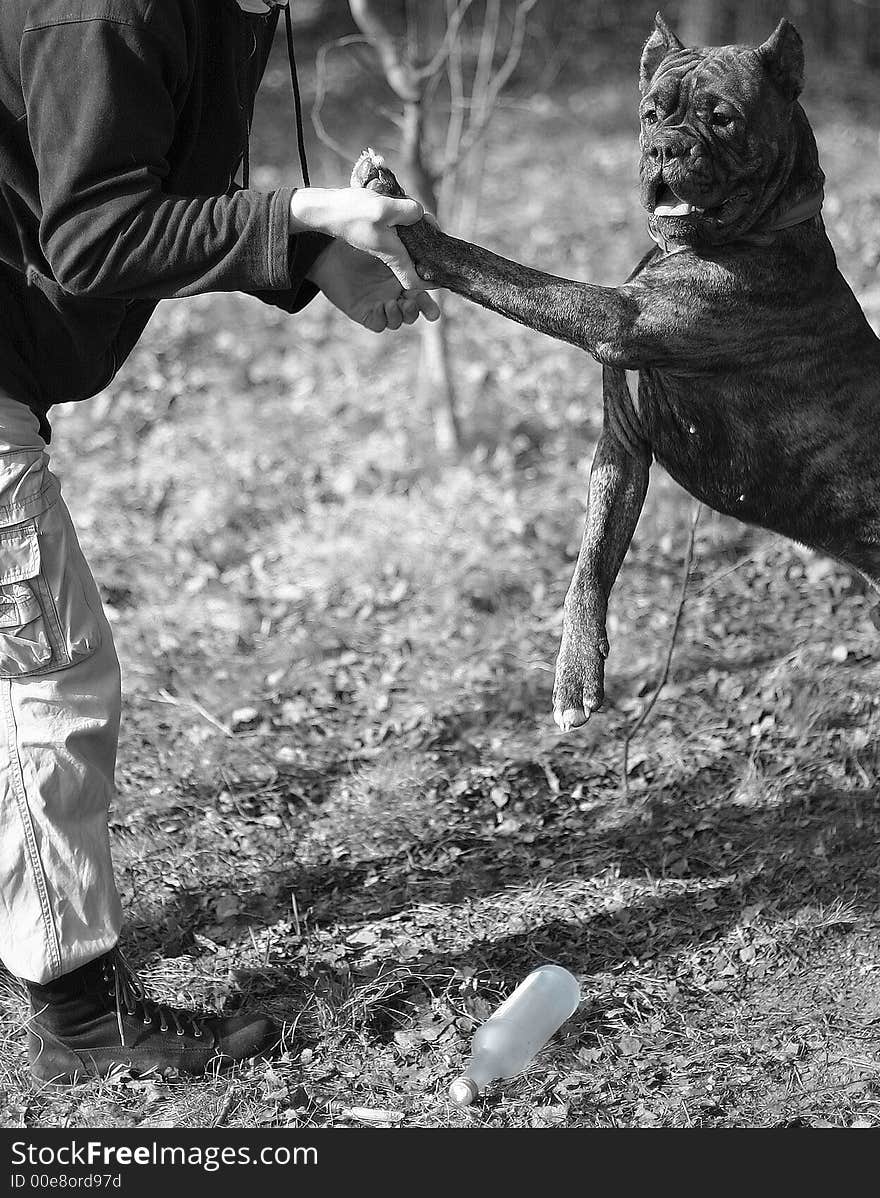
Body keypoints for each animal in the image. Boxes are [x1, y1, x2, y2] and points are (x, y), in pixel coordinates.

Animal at [351, 14, 880, 733]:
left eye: (723, 118)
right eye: (652, 113)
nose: (664, 148)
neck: (766, 229)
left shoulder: (613, 318)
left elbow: (497, 271)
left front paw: (400, 213)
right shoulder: (623, 445)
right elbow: (593, 554)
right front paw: (575, 671)